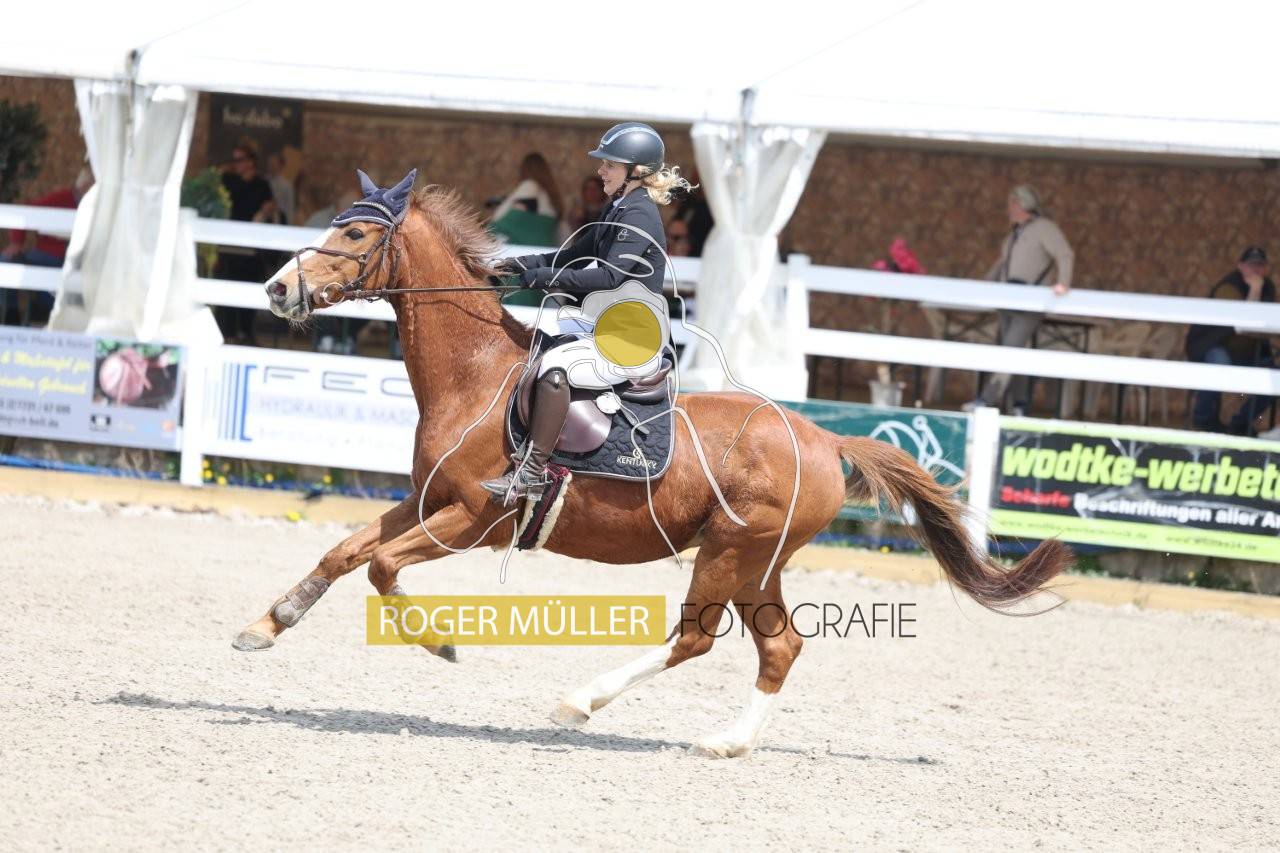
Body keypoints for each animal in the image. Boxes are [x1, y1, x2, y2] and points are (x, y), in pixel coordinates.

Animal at [235, 174, 1070, 758]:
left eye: (351, 232)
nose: (277, 286)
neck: (474, 372)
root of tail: (824, 439)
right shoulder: (425, 502)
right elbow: (345, 550)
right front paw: (268, 623)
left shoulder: (472, 517)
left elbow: (380, 567)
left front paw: (439, 643)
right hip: (758, 560)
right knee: (781, 646)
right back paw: (729, 741)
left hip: (730, 551)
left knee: (695, 638)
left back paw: (581, 700)